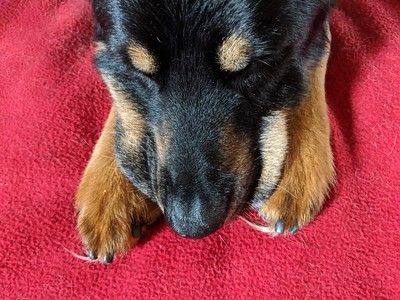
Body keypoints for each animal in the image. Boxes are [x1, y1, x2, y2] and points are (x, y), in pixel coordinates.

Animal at [75, 0, 334, 264]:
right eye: (141, 72)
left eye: (250, 68)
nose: (191, 224)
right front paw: (110, 187)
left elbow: (318, 46)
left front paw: (300, 160)